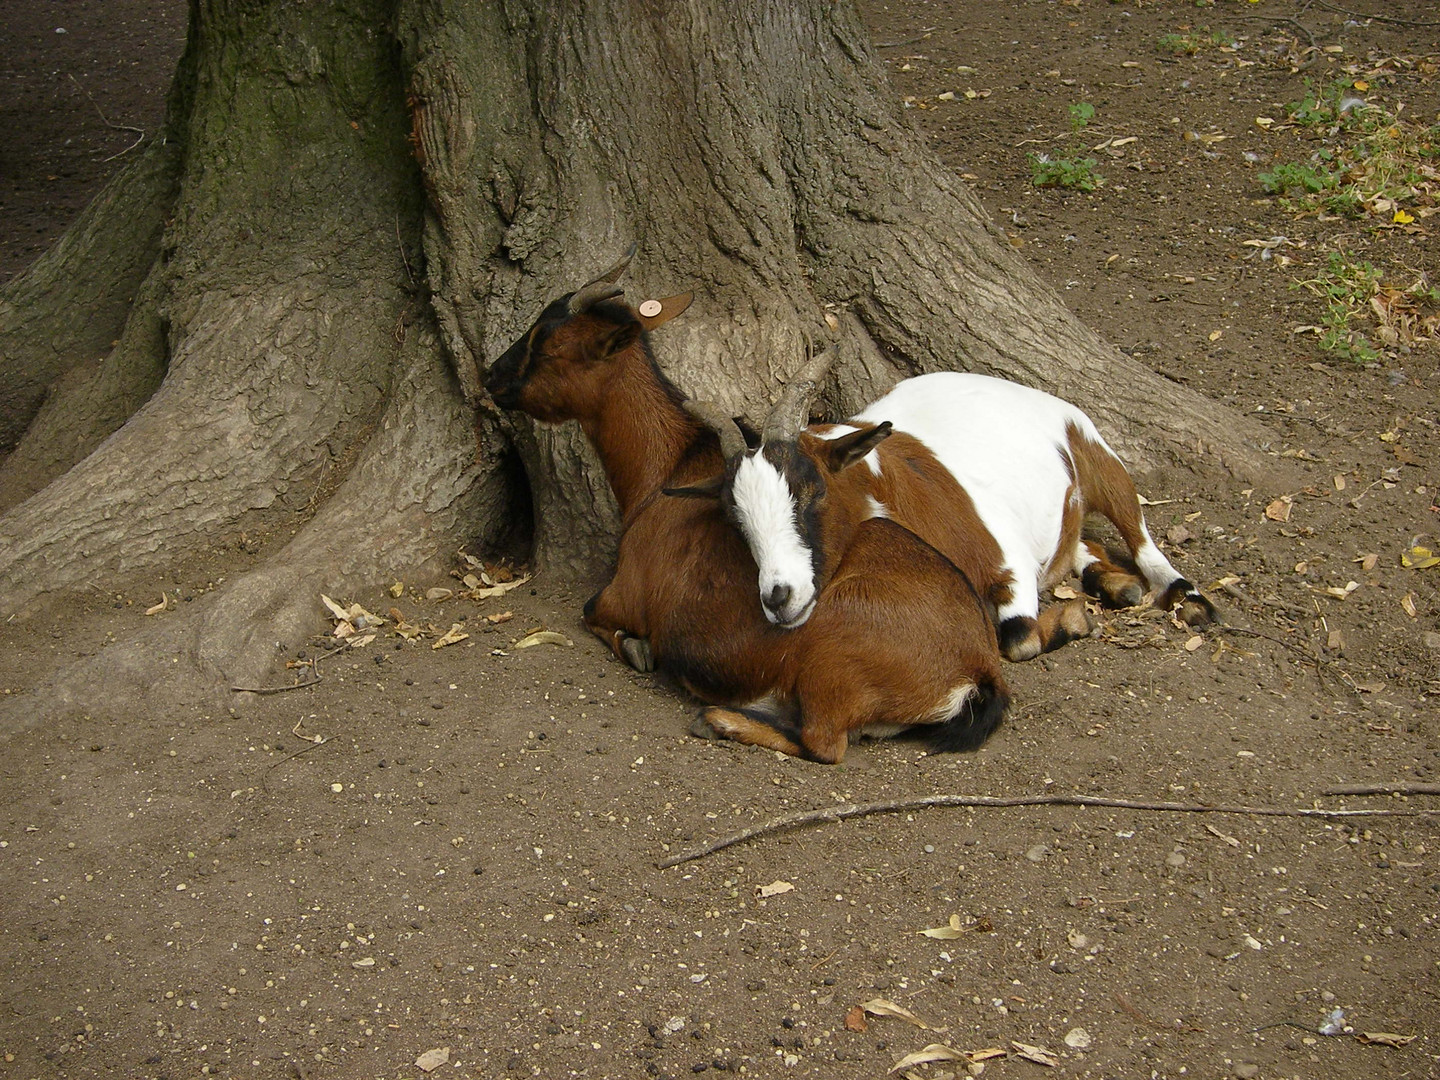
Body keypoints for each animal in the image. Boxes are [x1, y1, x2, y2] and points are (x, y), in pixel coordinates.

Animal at [478, 250, 1008, 766]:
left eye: (543, 343)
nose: (489, 376)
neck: (671, 466)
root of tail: (980, 669)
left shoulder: (622, 593)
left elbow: (592, 613)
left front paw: (639, 648)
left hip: (831, 667)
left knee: (823, 745)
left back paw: (720, 719)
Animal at [708, 371, 1215, 659]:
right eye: (736, 519)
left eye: (812, 492)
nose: (778, 597)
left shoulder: (1009, 563)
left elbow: (1020, 639)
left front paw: (1074, 620)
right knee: (1079, 544)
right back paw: (1116, 582)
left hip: (1097, 456)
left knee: (1139, 533)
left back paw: (1186, 598)